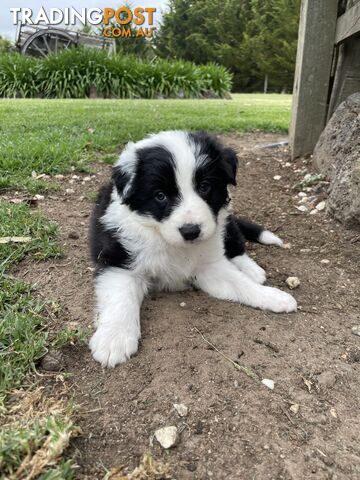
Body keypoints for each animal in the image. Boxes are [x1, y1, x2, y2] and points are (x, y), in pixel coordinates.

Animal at [88, 131, 296, 368]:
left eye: (205, 186)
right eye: (160, 195)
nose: (191, 231)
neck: (166, 240)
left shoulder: (210, 265)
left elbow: (241, 283)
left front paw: (273, 297)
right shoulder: (118, 261)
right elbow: (121, 298)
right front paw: (114, 339)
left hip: (225, 223)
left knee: (236, 244)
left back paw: (252, 270)